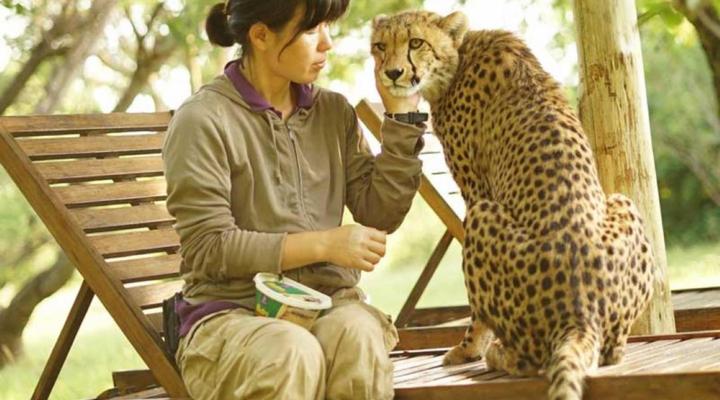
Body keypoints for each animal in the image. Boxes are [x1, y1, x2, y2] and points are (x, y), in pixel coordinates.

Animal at [371, 10, 658, 400]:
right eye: (380, 46)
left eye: (416, 42)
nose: (392, 73)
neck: (458, 59)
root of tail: (580, 312)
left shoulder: (477, 193)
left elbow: (475, 311)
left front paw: (468, 348)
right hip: (622, 202)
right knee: (611, 352)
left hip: (483, 215)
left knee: (530, 359)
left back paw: (497, 354)